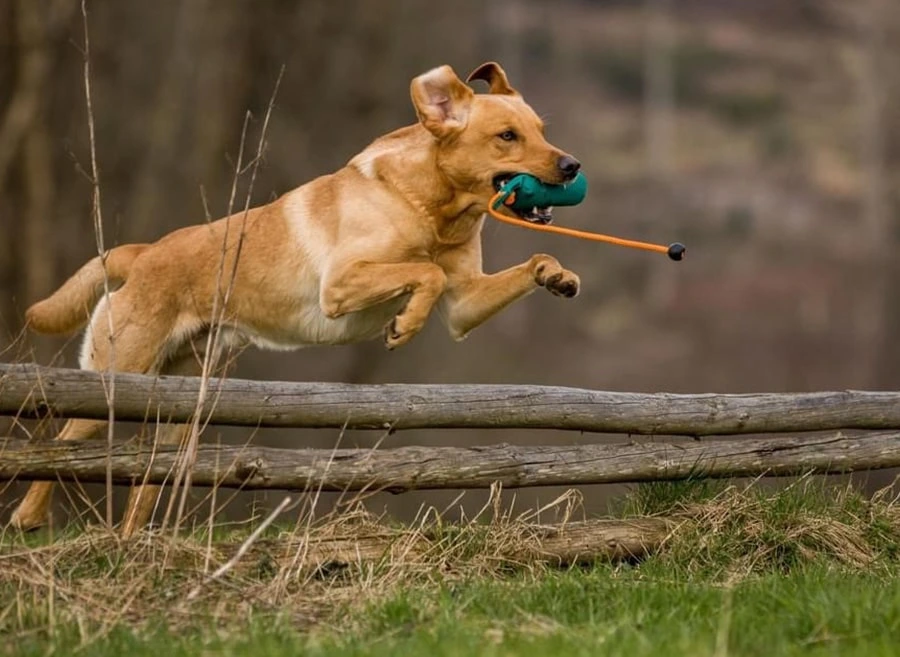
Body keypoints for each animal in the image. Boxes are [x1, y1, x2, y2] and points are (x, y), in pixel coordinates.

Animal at [12, 60, 584, 532]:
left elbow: (519, 264)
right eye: (507, 136)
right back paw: (28, 517)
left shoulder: (464, 306)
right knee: (61, 445)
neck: (430, 205)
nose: (573, 166)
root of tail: (143, 253)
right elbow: (425, 273)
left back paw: (133, 545)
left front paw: (556, 275)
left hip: (181, 407)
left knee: (146, 479)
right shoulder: (342, 282)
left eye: (542, 131)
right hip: (115, 378)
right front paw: (404, 324)